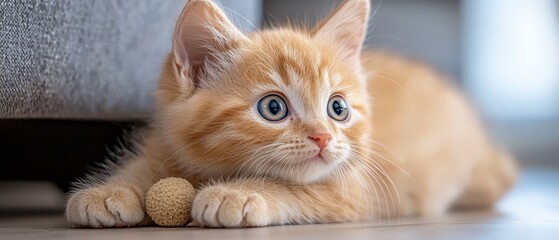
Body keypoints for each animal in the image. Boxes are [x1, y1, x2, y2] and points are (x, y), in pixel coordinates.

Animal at [64, 0, 516, 228]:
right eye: (273, 108)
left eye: (338, 108)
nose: (323, 137)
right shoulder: (167, 140)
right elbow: (145, 165)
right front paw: (108, 192)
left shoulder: (353, 187)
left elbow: (297, 189)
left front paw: (240, 193)